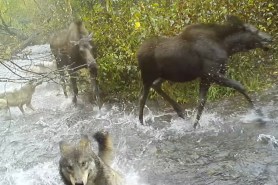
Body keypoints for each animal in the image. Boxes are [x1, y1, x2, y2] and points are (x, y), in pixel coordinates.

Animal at [137, 14, 272, 129]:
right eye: (254, 31)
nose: (269, 38)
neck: (227, 47)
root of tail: (137, 54)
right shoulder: (213, 74)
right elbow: (240, 86)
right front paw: (260, 116)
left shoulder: (206, 77)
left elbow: (201, 103)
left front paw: (194, 126)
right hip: (148, 75)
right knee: (142, 98)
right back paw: (141, 123)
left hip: (166, 75)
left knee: (156, 85)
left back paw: (180, 112)